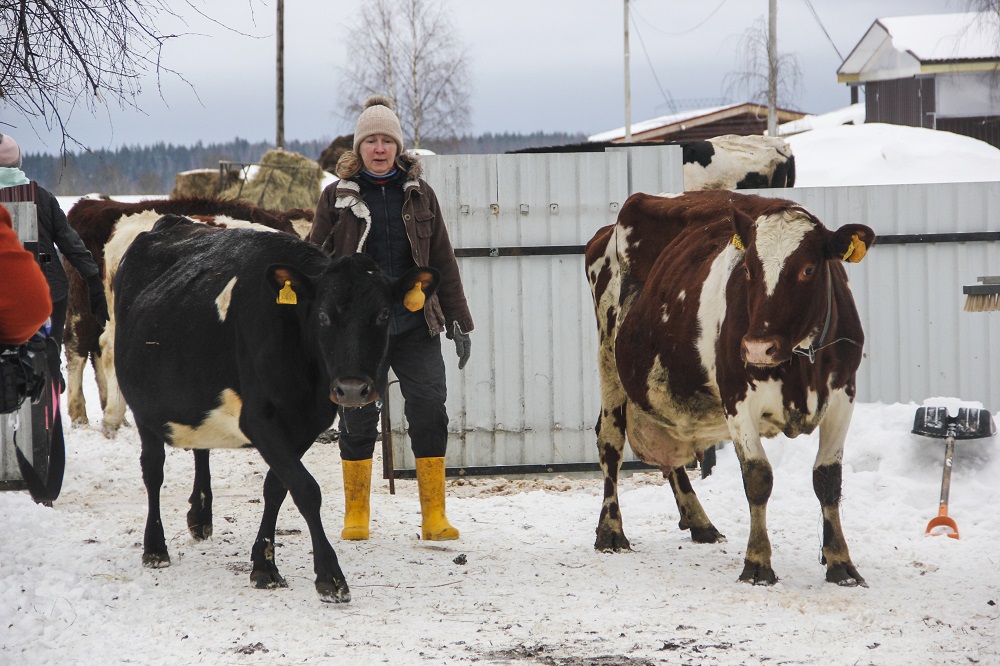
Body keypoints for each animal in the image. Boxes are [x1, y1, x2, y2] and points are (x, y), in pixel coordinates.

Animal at [584, 189, 876, 584]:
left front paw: (840, 562)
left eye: (808, 269)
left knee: (670, 452)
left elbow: (828, 479)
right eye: (749, 269)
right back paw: (611, 530)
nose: (757, 348)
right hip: (608, 355)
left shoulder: (844, 395)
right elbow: (757, 477)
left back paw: (699, 521)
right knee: (610, 441)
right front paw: (757, 562)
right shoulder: (738, 398)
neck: (800, 363)